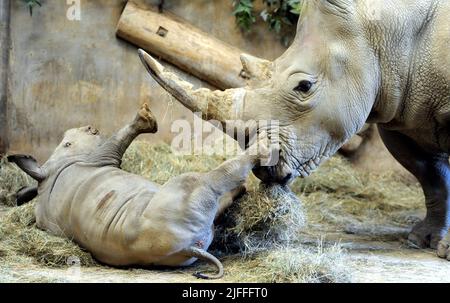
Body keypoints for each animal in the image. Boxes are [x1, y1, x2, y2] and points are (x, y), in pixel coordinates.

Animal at [7, 104, 264, 278]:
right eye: (67, 144)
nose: (89, 127)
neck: (49, 176)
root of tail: (189, 245)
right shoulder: (99, 159)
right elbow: (117, 141)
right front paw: (146, 119)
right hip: (172, 213)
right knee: (203, 182)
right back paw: (262, 149)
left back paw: (241, 189)